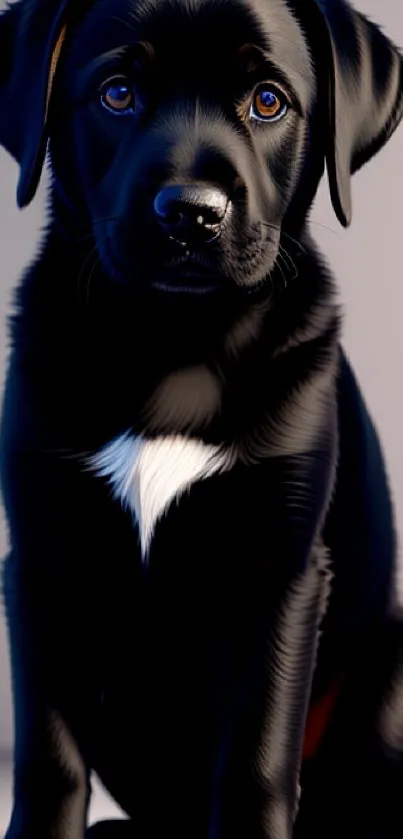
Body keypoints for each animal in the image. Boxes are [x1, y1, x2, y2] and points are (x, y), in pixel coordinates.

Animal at [0, 0, 403, 836]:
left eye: (268, 101)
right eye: (118, 93)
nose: (191, 216)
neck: (175, 341)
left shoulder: (281, 570)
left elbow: (255, 757)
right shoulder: (41, 557)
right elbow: (48, 756)